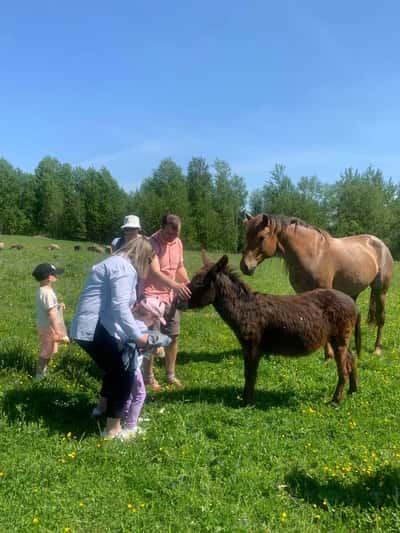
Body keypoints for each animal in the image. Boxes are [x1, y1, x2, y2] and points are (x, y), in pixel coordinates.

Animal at [180, 254, 360, 404]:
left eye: (200, 283)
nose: (179, 302)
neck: (245, 309)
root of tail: (353, 303)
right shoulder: (248, 347)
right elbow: (248, 373)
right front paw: (246, 399)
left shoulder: (253, 346)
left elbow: (250, 374)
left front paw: (246, 402)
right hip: (340, 338)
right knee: (351, 360)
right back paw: (353, 391)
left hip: (339, 337)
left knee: (343, 369)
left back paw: (336, 401)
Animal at [239, 214, 392, 356]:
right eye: (246, 236)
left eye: (261, 237)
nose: (245, 266)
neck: (313, 254)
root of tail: (381, 244)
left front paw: (328, 355)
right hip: (353, 292)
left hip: (381, 292)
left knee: (381, 318)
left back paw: (377, 349)